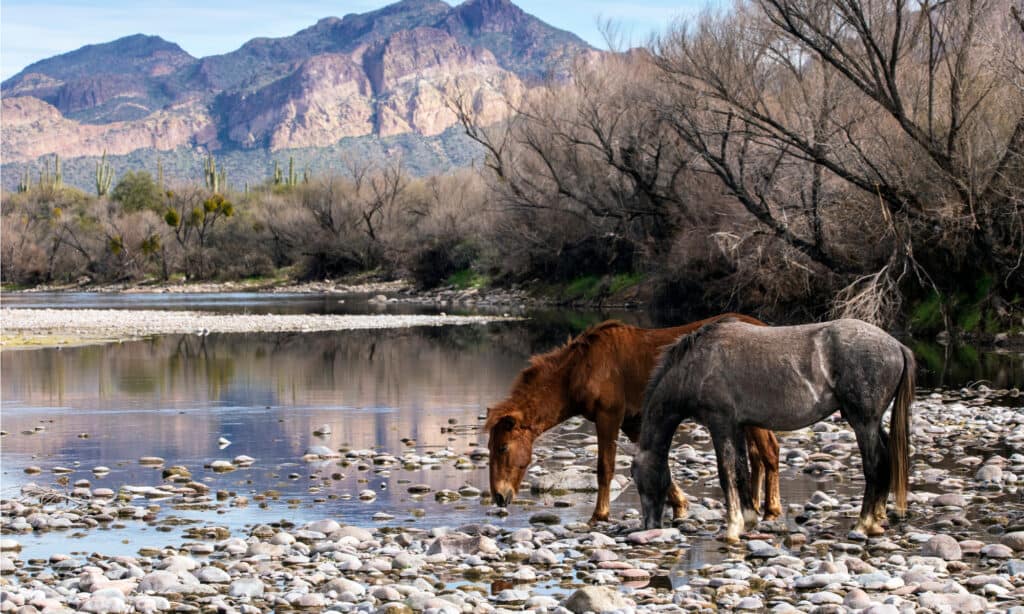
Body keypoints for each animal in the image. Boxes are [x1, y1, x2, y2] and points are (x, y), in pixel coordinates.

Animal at [483, 317, 778, 521]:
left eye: (503, 447)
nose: (499, 496)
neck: (579, 369)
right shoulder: (632, 423)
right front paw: (680, 504)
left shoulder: (609, 417)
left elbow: (605, 467)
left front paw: (599, 514)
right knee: (758, 456)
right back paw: (754, 504)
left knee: (769, 453)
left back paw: (771, 510)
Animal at [630, 319, 913, 540]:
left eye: (638, 479)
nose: (650, 526)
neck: (695, 366)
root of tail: (897, 345)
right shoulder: (738, 426)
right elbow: (741, 470)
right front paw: (748, 519)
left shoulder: (720, 423)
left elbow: (726, 472)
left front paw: (732, 527)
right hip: (872, 423)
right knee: (886, 459)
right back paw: (876, 521)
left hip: (864, 423)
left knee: (874, 466)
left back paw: (863, 524)